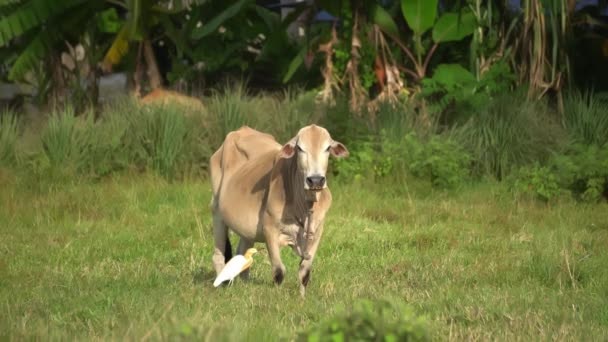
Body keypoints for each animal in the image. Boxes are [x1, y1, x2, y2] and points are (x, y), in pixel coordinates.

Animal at [211, 124, 350, 296]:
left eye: (328, 148)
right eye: (299, 148)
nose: (316, 180)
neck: (304, 208)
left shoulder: (317, 232)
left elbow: (304, 272)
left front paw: (302, 298)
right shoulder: (270, 229)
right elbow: (279, 271)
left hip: (246, 230)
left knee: (242, 254)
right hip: (217, 212)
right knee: (218, 256)